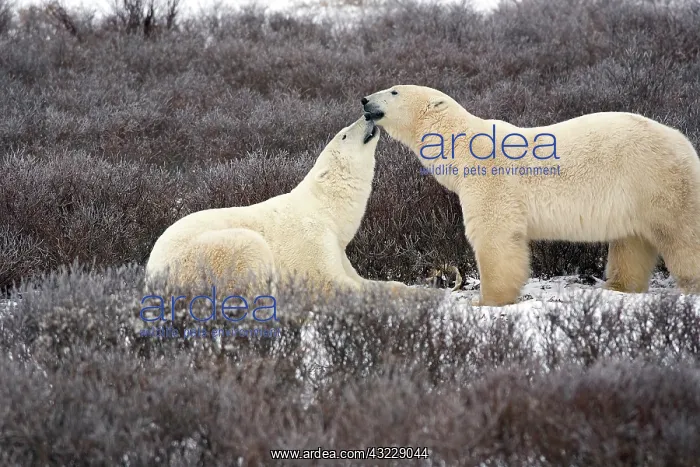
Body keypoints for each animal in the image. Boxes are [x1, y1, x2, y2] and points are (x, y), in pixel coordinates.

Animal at [145, 116, 407, 296]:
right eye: (343, 135)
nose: (368, 115)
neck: (326, 210)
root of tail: (150, 274)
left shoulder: (337, 247)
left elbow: (362, 279)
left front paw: (403, 287)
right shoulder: (310, 238)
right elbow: (327, 280)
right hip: (200, 257)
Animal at [362, 84, 700, 306]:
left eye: (394, 91)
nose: (364, 100)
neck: (464, 148)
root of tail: (683, 141)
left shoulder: (492, 181)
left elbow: (494, 235)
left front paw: (486, 300)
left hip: (655, 180)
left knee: (681, 233)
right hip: (633, 197)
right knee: (632, 241)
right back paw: (616, 286)